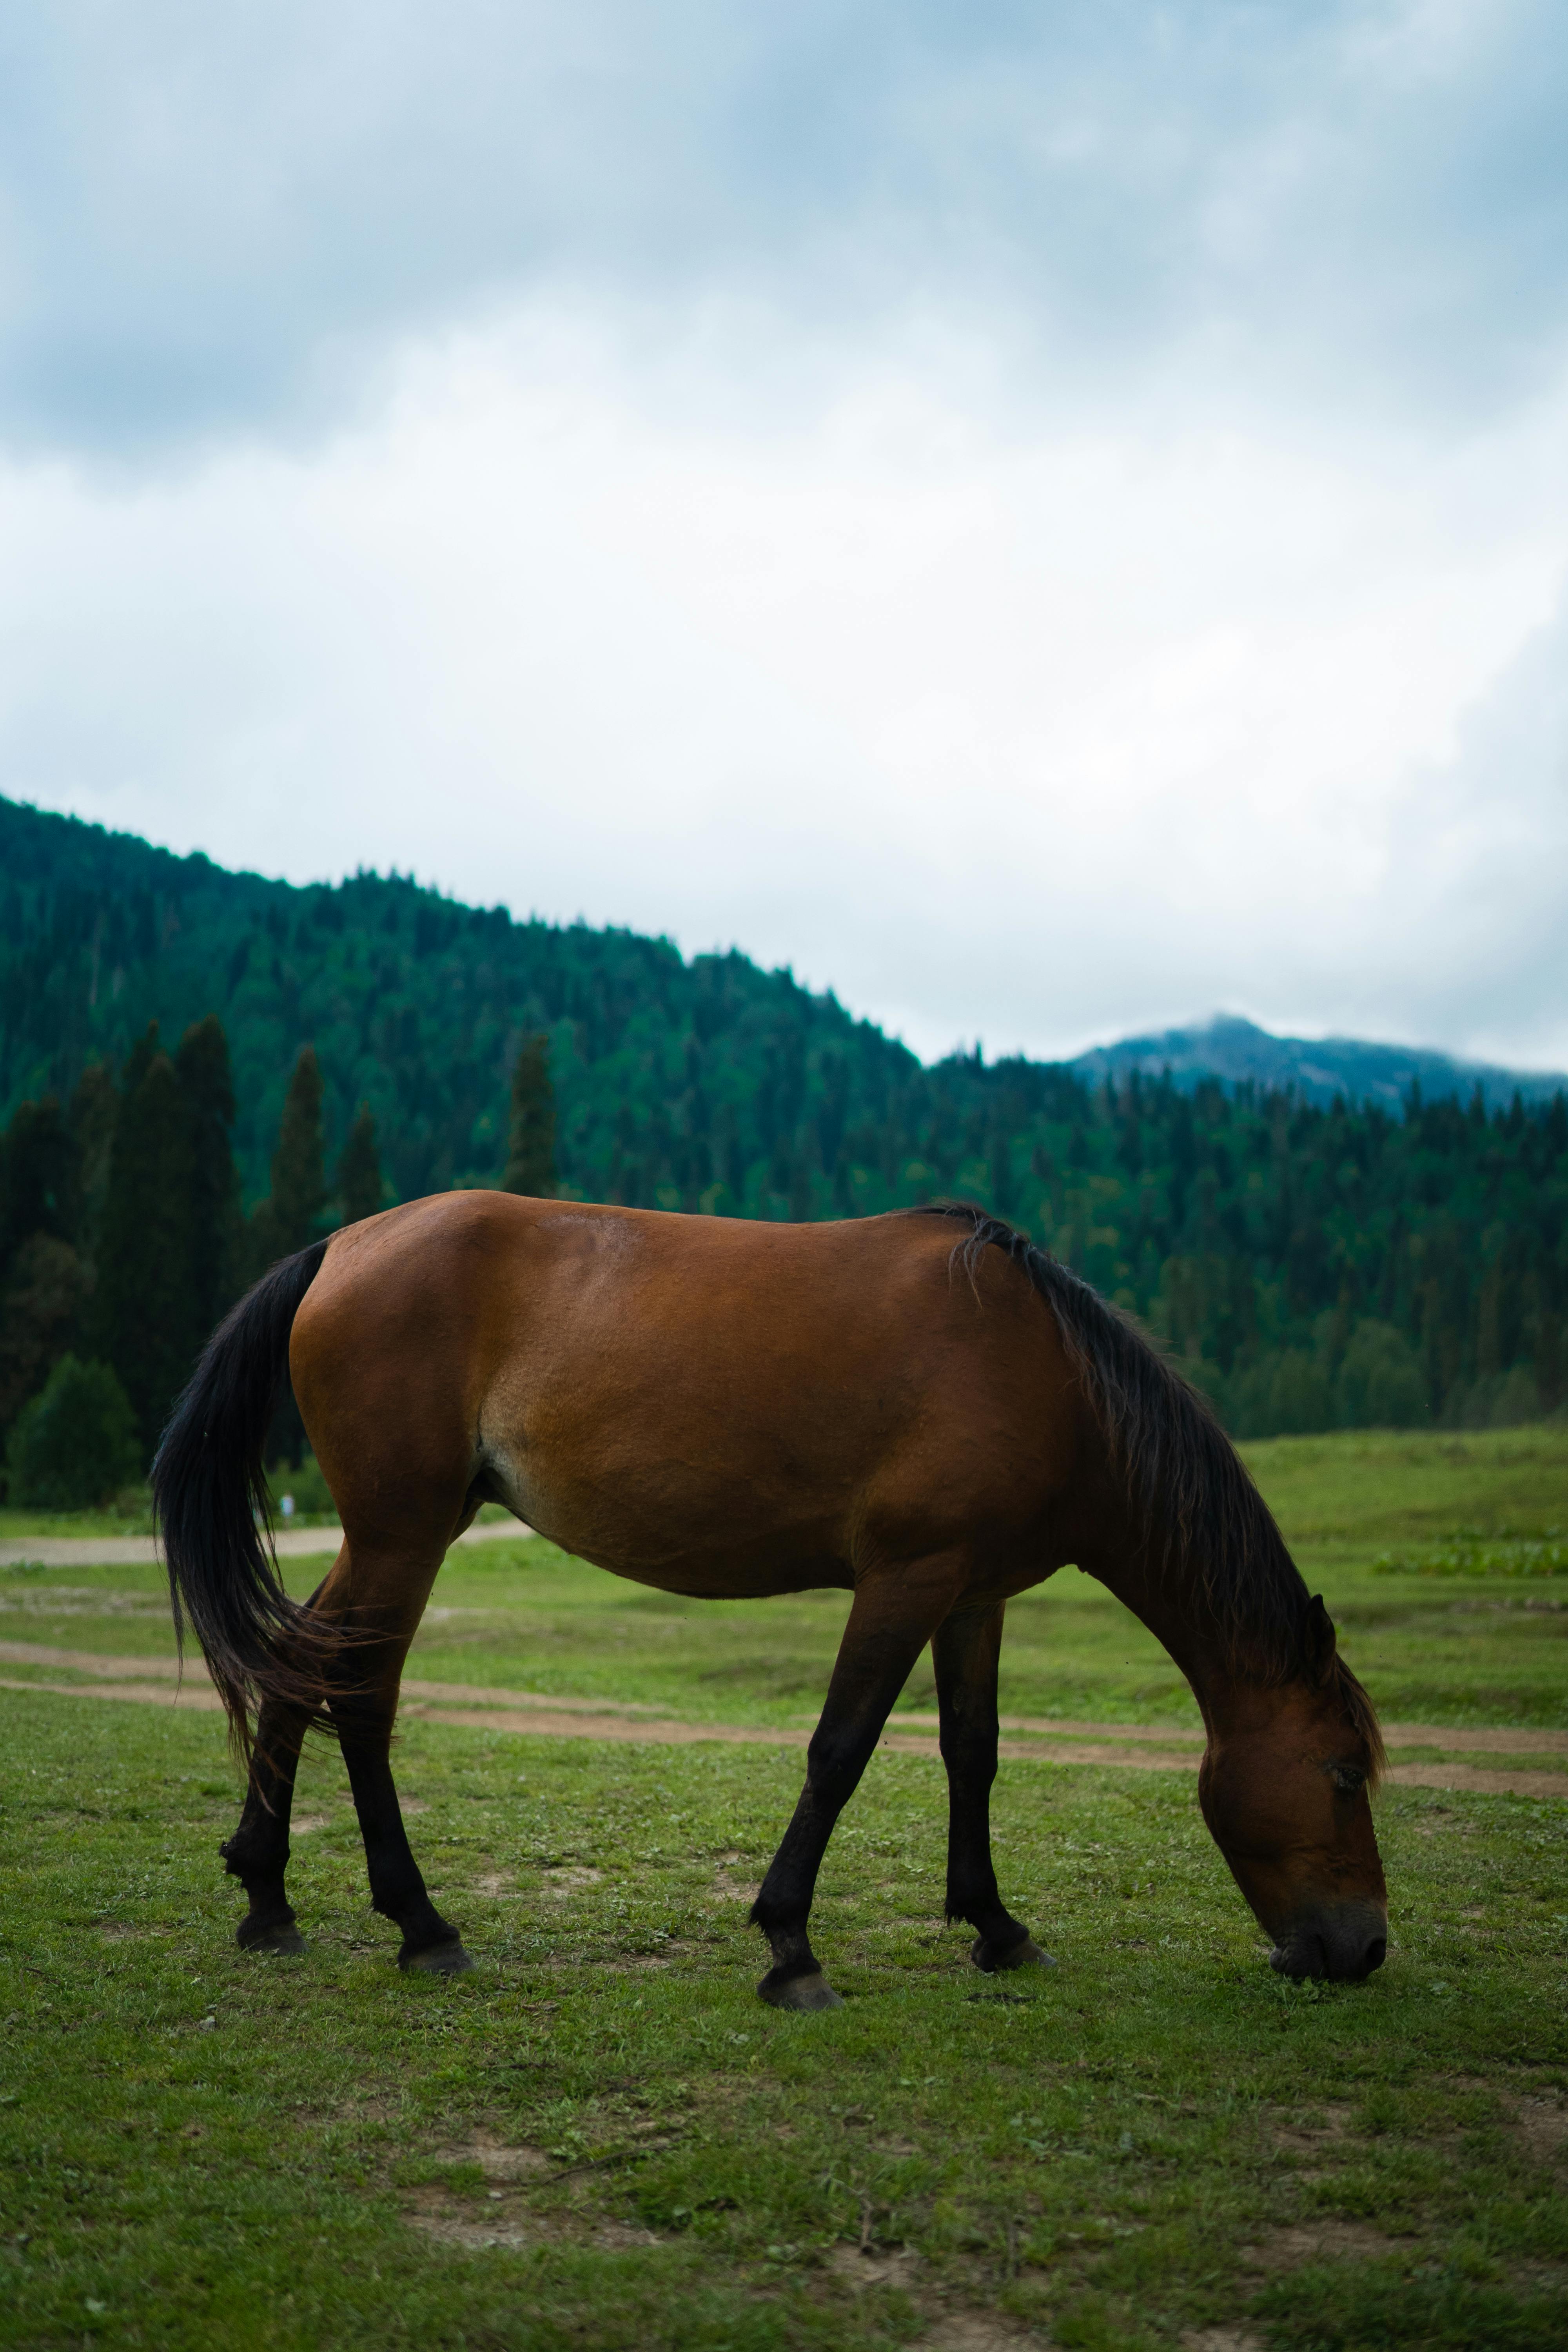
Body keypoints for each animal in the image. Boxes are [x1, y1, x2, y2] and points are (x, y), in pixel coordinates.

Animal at [152, 1204, 1392, 2013]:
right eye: (1341, 1774)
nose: (1363, 1948)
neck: (1050, 1379)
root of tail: (340, 1247)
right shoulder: (906, 1579)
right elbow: (840, 1750)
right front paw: (791, 1948)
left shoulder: (972, 1596)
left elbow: (974, 1752)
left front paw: (996, 1927)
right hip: (403, 1537)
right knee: (357, 1696)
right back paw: (421, 1926)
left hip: (396, 1534)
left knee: (297, 1666)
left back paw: (268, 1897)